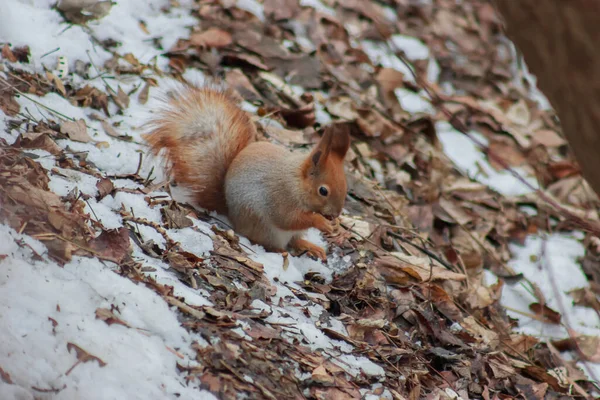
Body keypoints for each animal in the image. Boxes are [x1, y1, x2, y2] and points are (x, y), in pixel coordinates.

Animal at [144, 83, 352, 260]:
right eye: (323, 191)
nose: (335, 214)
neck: (297, 181)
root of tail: (231, 213)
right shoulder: (281, 196)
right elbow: (289, 218)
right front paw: (322, 222)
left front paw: (337, 227)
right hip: (263, 226)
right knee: (268, 242)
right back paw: (279, 250)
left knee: (295, 240)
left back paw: (311, 246)